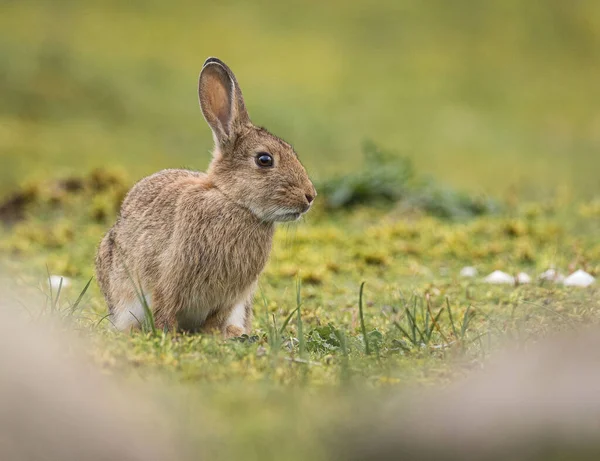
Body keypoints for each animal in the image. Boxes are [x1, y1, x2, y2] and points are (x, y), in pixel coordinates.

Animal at [95, 58, 314, 338]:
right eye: (264, 159)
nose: (310, 196)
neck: (232, 201)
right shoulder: (168, 277)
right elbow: (165, 308)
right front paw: (169, 334)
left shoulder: (230, 298)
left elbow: (214, 319)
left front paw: (216, 335)